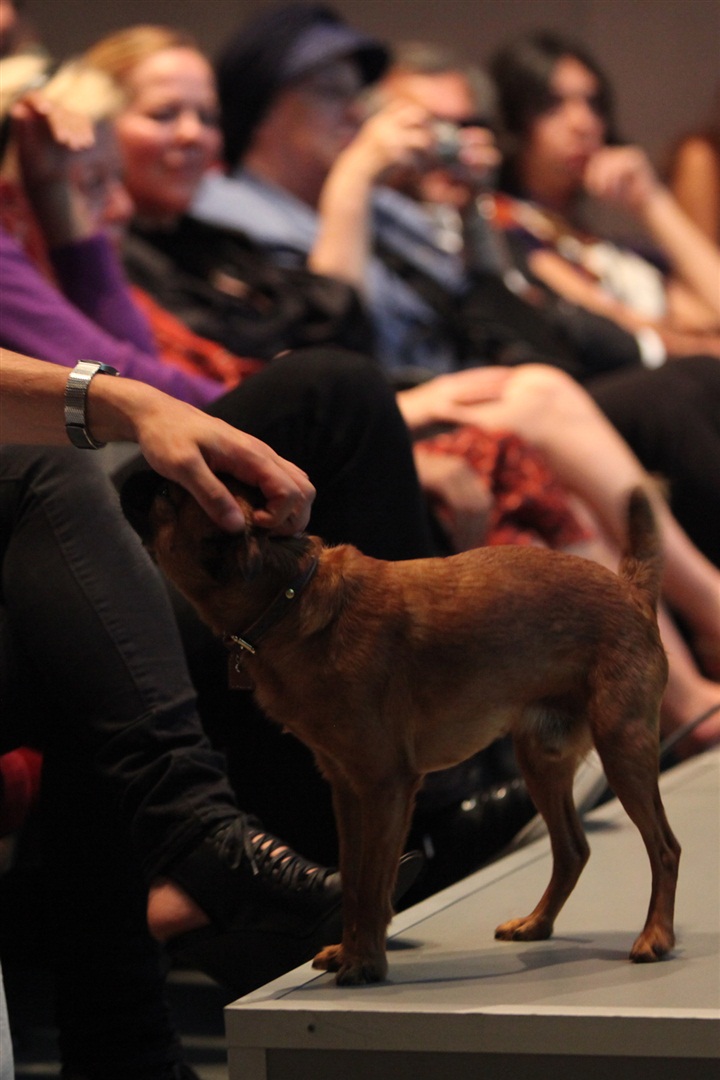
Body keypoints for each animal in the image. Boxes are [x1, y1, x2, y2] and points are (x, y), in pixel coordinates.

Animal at [132, 481, 677, 989]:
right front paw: (350, 951)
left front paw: (365, 963)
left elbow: (374, 883)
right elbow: (355, 881)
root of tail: (631, 588)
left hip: (623, 747)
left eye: (167, 499)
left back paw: (655, 937)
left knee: (664, 848)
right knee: (572, 850)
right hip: (541, 762)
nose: (141, 478)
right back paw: (536, 924)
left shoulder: (384, 786)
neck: (292, 598)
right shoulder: (347, 790)